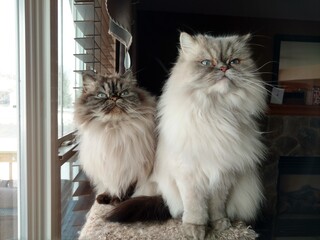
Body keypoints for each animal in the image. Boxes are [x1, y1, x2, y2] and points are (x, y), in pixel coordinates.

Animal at [74, 71, 156, 204]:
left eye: (124, 93)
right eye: (101, 95)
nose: (114, 97)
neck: (113, 131)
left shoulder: (133, 168)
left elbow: (128, 188)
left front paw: (118, 200)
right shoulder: (106, 167)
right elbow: (108, 186)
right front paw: (105, 197)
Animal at [107, 32, 268, 240]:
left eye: (234, 61)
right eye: (206, 63)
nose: (224, 67)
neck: (216, 112)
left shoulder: (222, 176)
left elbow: (216, 208)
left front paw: (219, 225)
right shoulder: (190, 176)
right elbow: (196, 209)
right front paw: (195, 230)